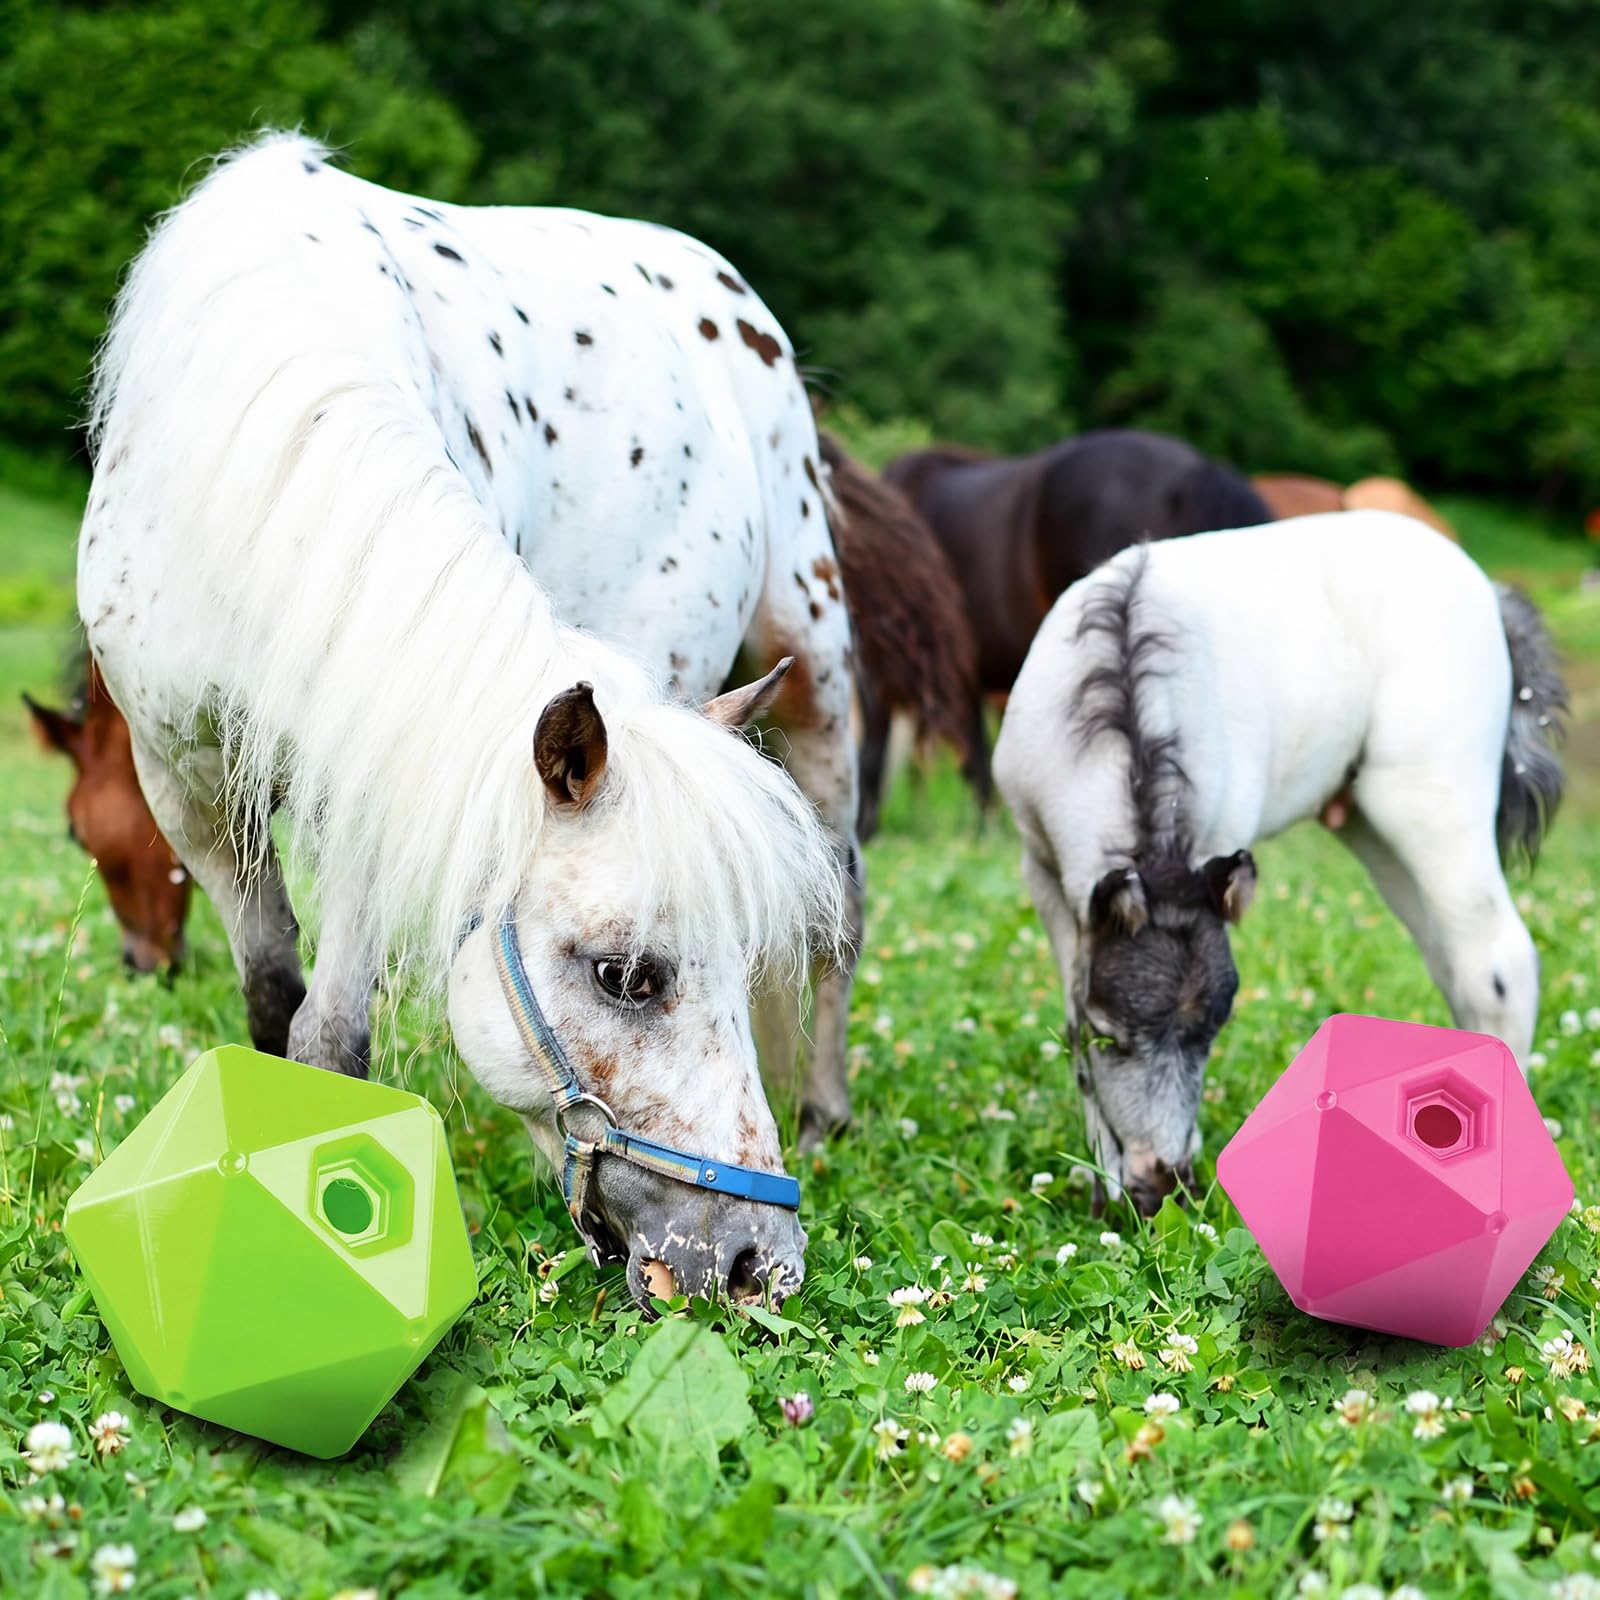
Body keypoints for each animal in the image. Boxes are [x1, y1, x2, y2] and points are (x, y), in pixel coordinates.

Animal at [80, 134, 861, 1307]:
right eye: (625, 976)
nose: (757, 1263)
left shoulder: (373, 784)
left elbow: (332, 1035)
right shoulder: (191, 791)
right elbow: (274, 1004)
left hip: (815, 672)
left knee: (842, 915)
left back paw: (823, 1111)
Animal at [993, 511, 1565, 1216]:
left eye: (1213, 1033)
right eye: (1113, 1035)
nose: (1163, 1185)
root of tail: (1489, 589)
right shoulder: (1043, 870)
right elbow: (1072, 1019)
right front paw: (1105, 1188)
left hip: (1432, 801)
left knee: (1497, 962)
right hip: (1375, 826)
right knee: (1454, 961)